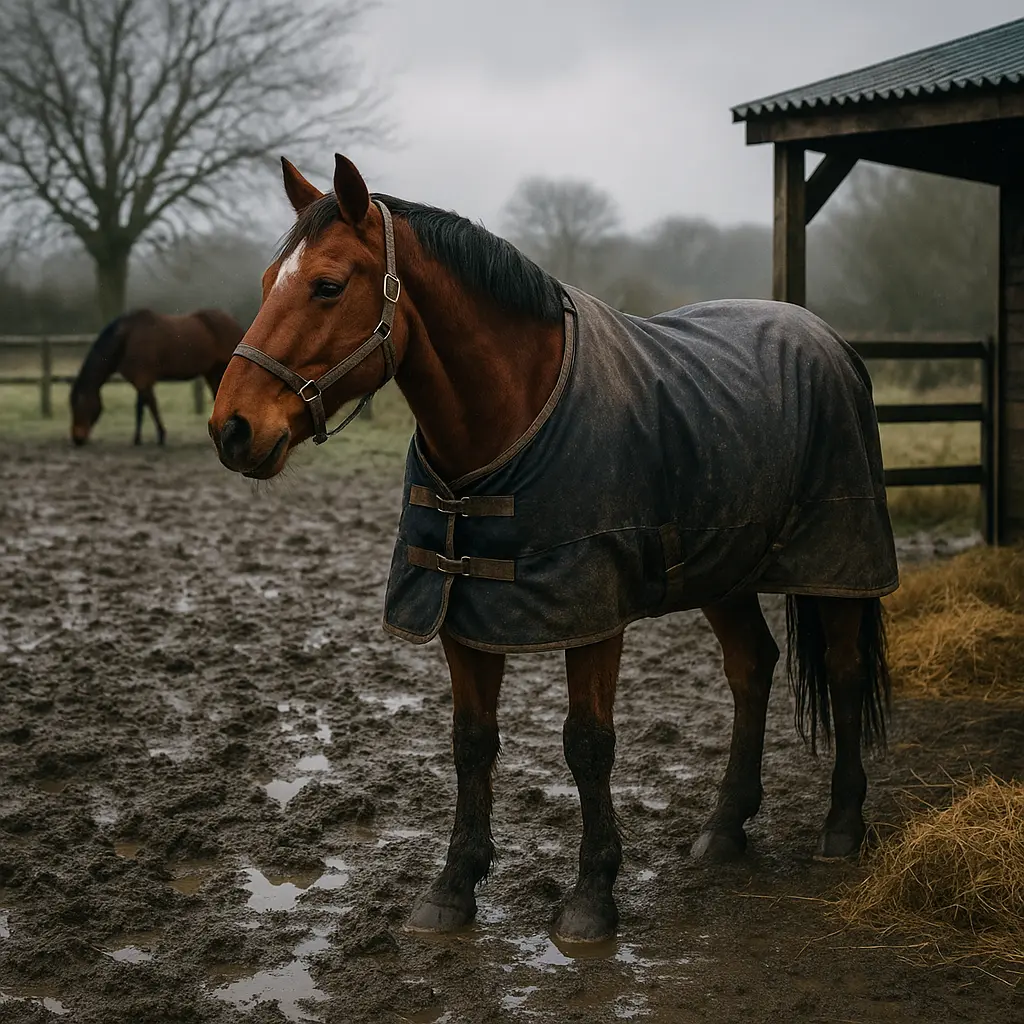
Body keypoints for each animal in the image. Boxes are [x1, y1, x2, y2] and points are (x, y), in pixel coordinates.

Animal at [70, 308, 244, 446]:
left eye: (79, 404)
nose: (77, 439)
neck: (127, 337)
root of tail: (234, 322)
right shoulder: (141, 381)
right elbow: (142, 407)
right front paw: (139, 438)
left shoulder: (143, 379)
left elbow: (150, 406)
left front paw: (159, 436)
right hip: (212, 372)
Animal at [208, 154, 898, 945]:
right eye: (268, 281)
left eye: (327, 286)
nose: (231, 428)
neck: (510, 420)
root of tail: (828, 340)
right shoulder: (460, 607)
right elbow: (472, 741)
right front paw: (453, 888)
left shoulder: (592, 616)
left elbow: (588, 744)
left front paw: (592, 897)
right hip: (725, 573)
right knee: (751, 669)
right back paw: (725, 828)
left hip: (836, 560)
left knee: (843, 671)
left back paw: (843, 824)